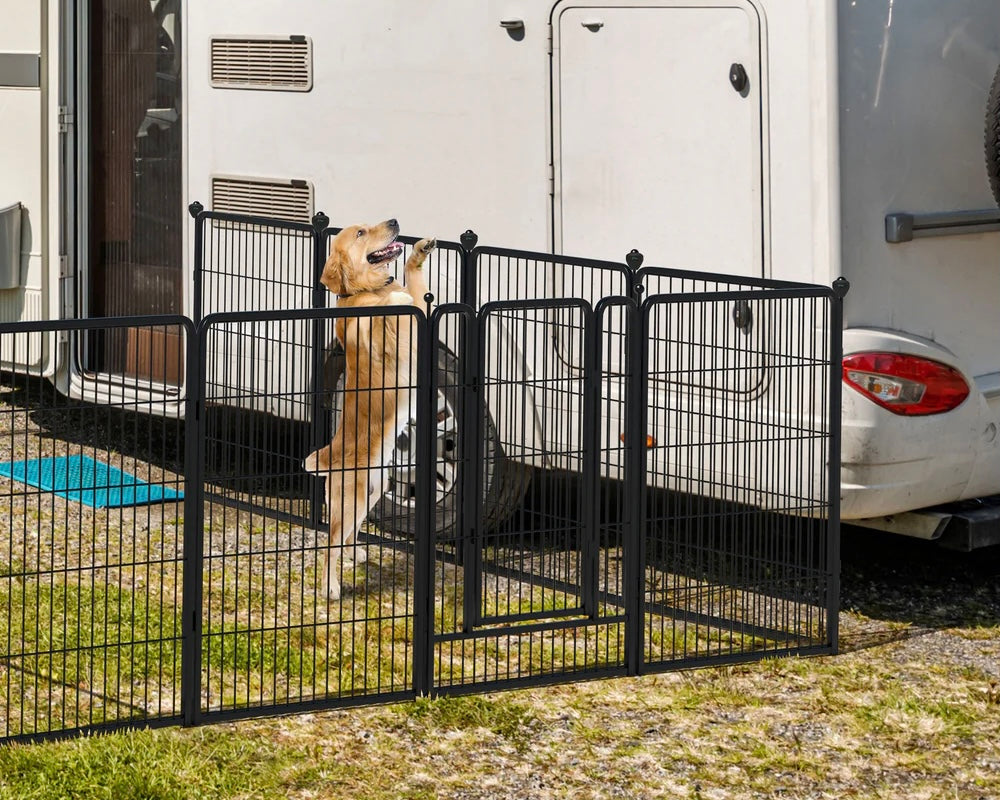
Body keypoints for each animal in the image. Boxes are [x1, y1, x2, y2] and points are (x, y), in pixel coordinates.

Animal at [300, 219, 434, 600]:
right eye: (360, 233)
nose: (394, 222)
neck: (364, 291)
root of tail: (329, 455)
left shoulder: (421, 321)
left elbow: (416, 289)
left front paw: (418, 255)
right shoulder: (385, 335)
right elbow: (391, 310)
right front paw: (396, 296)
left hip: (374, 490)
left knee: (347, 535)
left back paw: (355, 553)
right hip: (352, 498)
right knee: (329, 543)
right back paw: (330, 587)